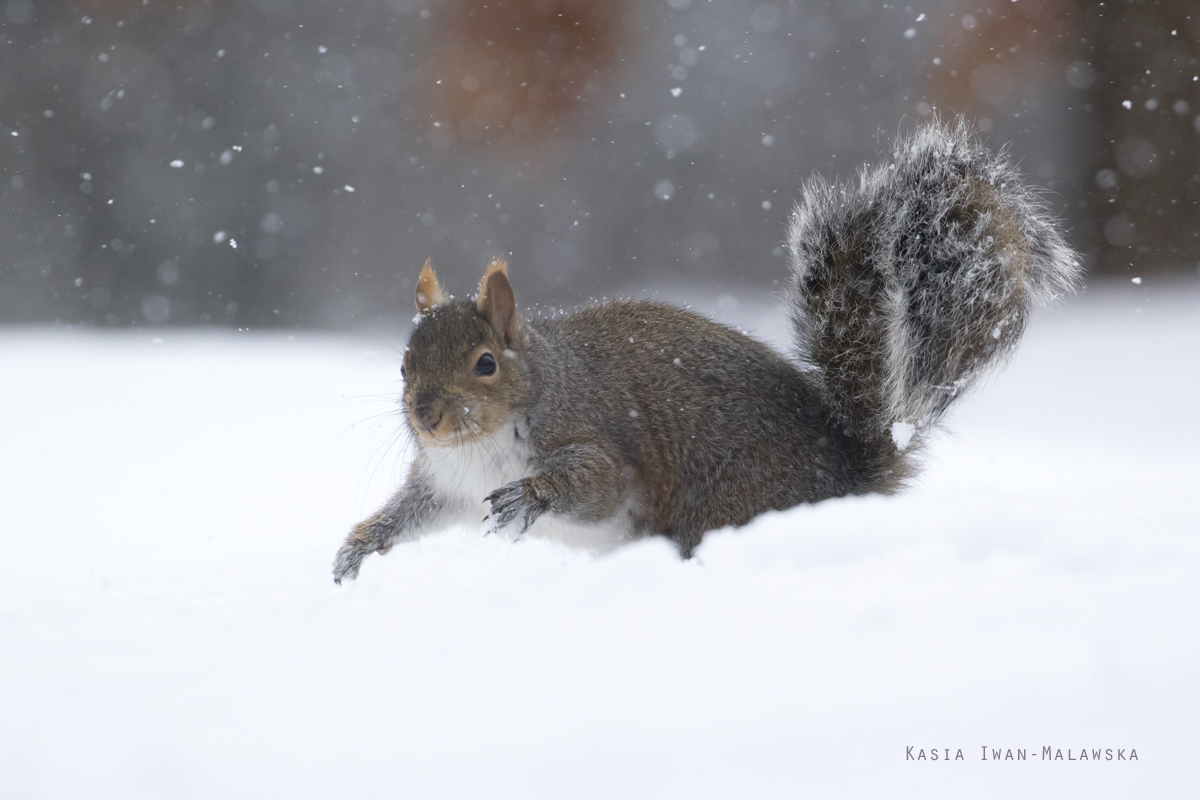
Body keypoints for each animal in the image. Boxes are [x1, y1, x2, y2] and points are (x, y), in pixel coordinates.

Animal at [333, 120, 1084, 582]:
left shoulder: (593, 438)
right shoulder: (445, 484)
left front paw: (530, 495)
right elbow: (414, 513)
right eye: (402, 365)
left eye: (485, 364)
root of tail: (850, 475)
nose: (426, 417)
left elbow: (595, 484)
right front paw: (358, 546)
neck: (481, 445)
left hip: (722, 507)